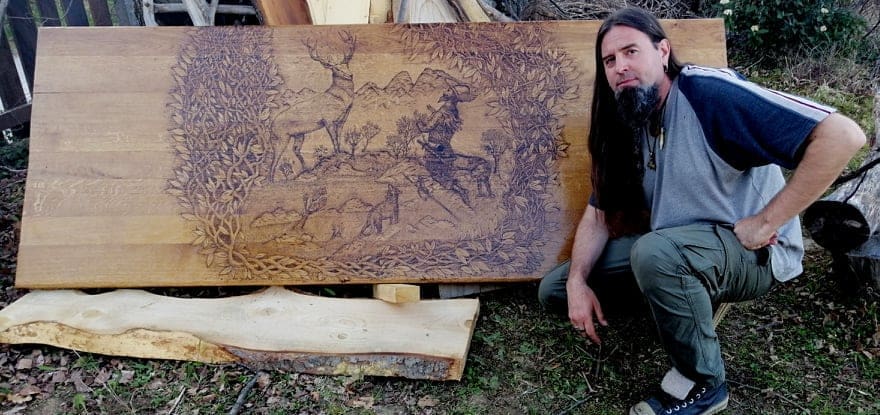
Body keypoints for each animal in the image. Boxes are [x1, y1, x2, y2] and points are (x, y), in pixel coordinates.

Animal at [269, 31, 357, 181]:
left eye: (347, 64)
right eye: (336, 68)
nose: (350, 74)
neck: (340, 100)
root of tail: (270, 126)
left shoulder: (341, 120)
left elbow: (339, 140)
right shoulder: (328, 120)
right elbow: (334, 141)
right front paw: (338, 161)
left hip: (299, 134)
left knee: (295, 149)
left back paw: (307, 169)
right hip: (281, 138)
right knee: (275, 158)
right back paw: (271, 179)